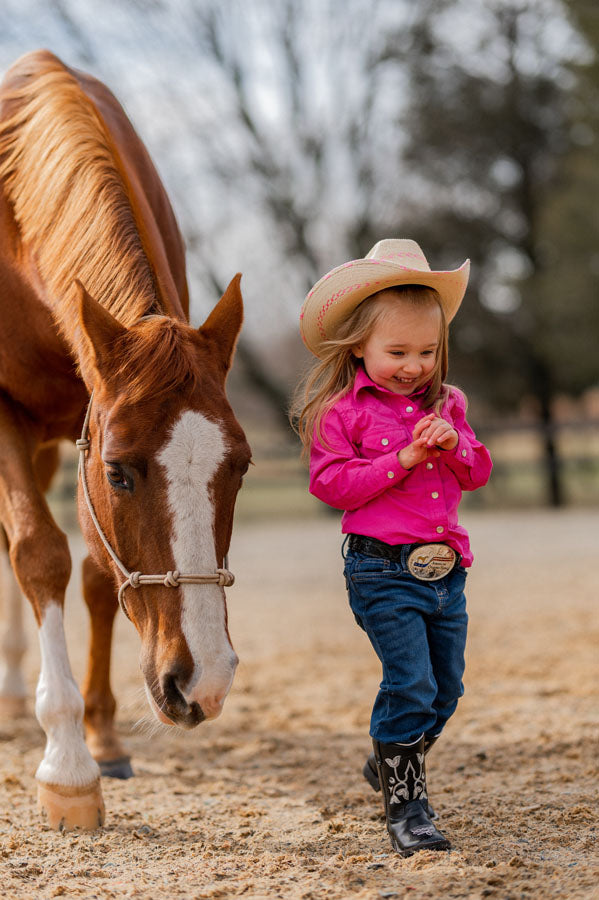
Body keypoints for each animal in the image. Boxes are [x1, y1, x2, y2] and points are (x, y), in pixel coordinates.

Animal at [0, 51, 251, 828]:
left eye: (240, 468)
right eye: (119, 473)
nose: (203, 680)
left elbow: (94, 574)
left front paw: (102, 736)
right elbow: (38, 553)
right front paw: (68, 766)